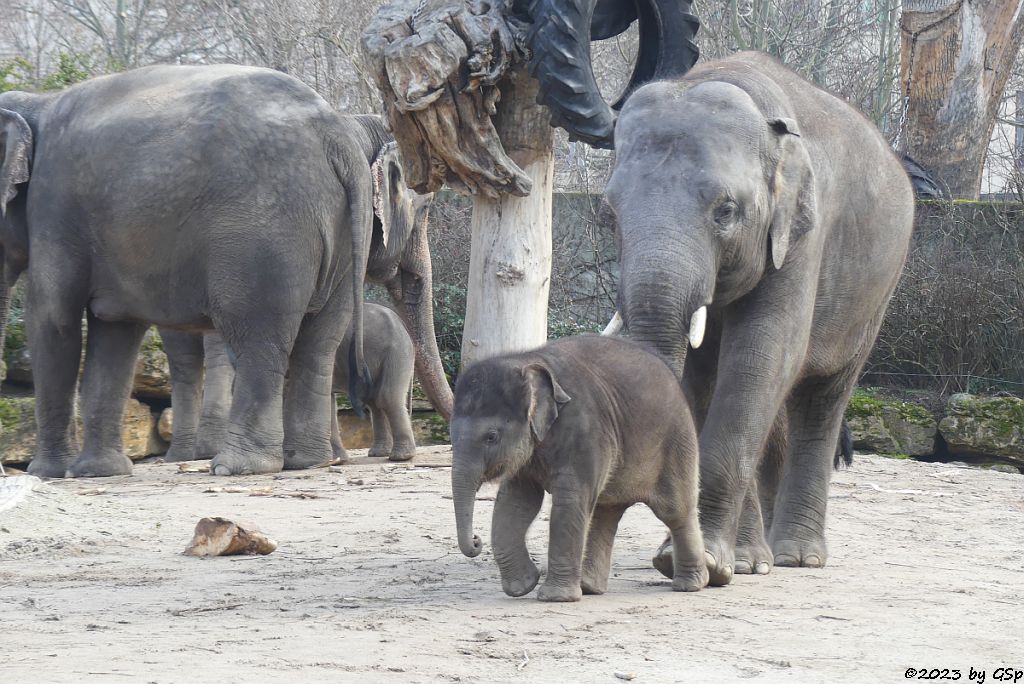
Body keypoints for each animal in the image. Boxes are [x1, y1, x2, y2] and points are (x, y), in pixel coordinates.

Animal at [159, 301, 415, 462]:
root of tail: (402, 325)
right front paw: (334, 458)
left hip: (396, 352)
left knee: (385, 398)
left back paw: (399, 457)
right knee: (375, 402)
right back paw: (378, 454)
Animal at [452, 333, 708, 602]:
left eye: (491, 437)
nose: (476, 541)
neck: (528, 360)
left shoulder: (586, 430)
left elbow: (569, 499)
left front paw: (555, 597)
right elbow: (516, 502)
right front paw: (523, 586)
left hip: (677, 440)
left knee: (675, 509)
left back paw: (690, 585)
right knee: (607, 510)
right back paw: (590, 587)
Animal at [598, 52, 913, 589]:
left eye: (725, 211)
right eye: (610, 217)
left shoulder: (803, 234)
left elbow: (760, 357)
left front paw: (706, 563)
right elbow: (702, 380)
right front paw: (728, 564)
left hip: (877, 293)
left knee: (821, 399)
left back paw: (798, 558)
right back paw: (764, 556)